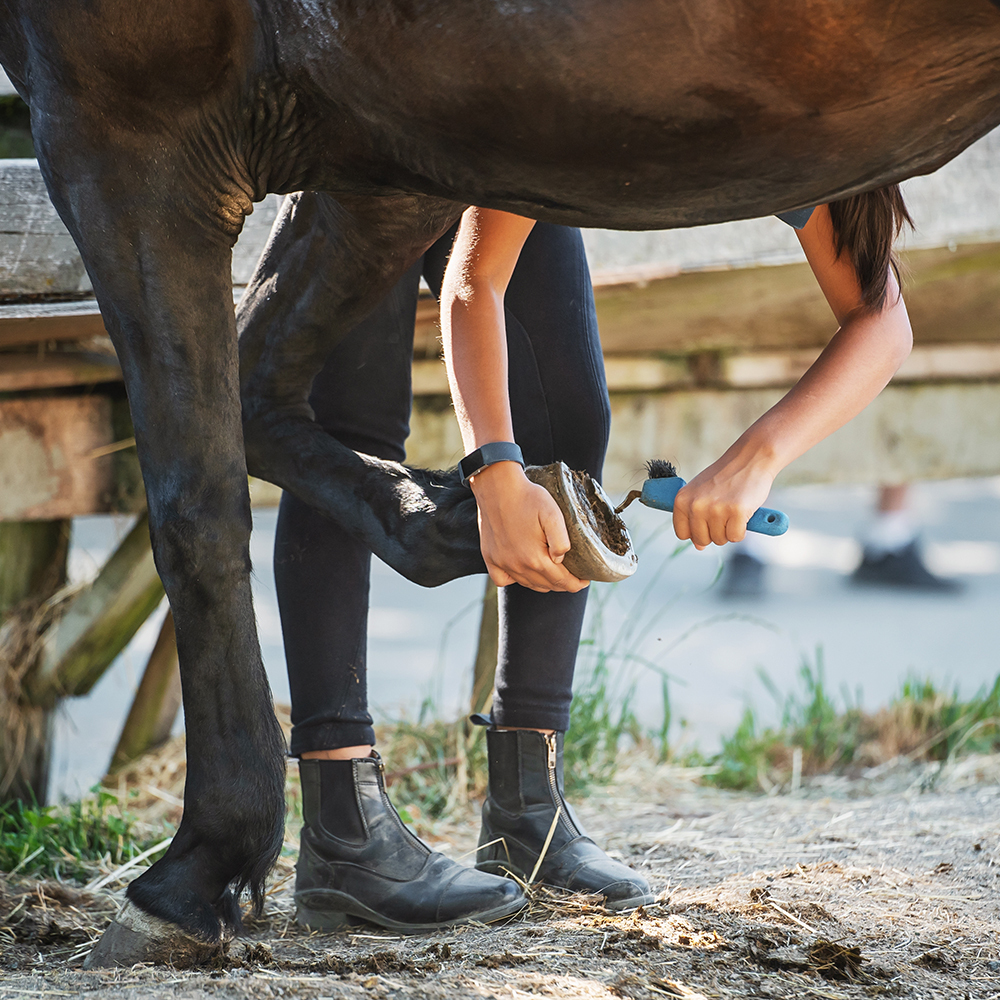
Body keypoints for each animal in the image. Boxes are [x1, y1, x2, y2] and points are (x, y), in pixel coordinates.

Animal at [2, 0, 999, 966]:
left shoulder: (134, 130)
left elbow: (197, 504)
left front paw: (193, 875)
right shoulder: (380, 142)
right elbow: (263, 396)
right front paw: (449, 520)